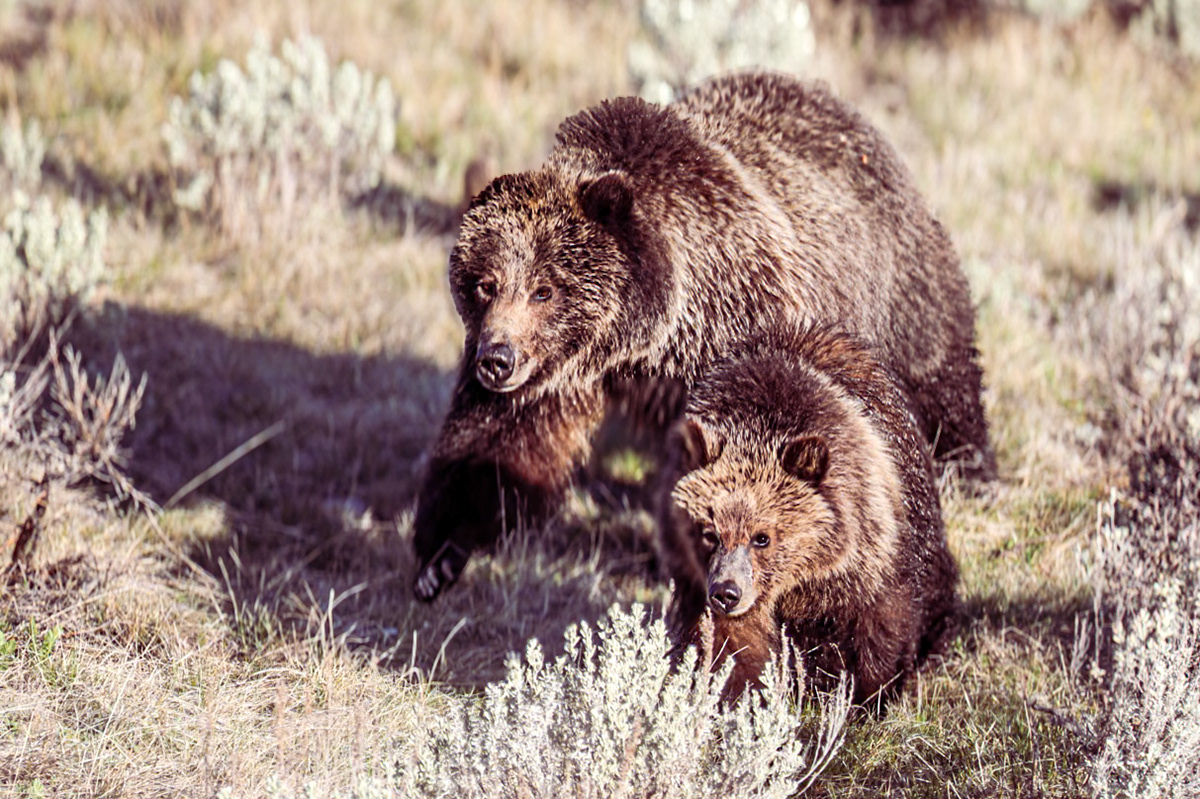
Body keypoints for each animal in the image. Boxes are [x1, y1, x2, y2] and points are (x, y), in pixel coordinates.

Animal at [412, 71, 991, 602]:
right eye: (485, 283)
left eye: (544, 289)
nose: (497, 359)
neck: (654, 338)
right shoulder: (562, 373)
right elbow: (497, 444)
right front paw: (440, 556)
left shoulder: (744, 329)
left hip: (899, 287)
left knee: (943, 379)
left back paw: (968, 471)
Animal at [663, 323, 959, 707]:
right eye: (709, 532)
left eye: (762, 537)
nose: (726, 592)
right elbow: (736, 644)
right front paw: (739, 696)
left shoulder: (868, 548)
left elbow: (879, 621)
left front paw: (868, 696)